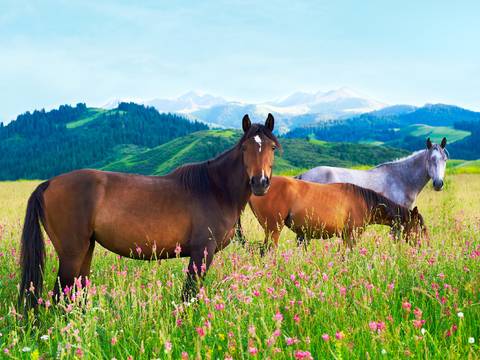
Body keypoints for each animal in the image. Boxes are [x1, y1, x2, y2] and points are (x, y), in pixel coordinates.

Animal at [18, 114, 282, 308]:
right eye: (245, 147)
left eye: (271, 147)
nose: (260, 183)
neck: (215, 189)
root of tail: (49, 183)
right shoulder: (202, 252)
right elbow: (190, 294)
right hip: (71, 254)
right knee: (59, 296)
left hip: (85, 250)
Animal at [249, 176, 426, 250]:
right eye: (421, 229)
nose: (425, 247)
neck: (366, 202)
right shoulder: (352, 235)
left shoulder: (345, 236)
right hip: (273, 230)